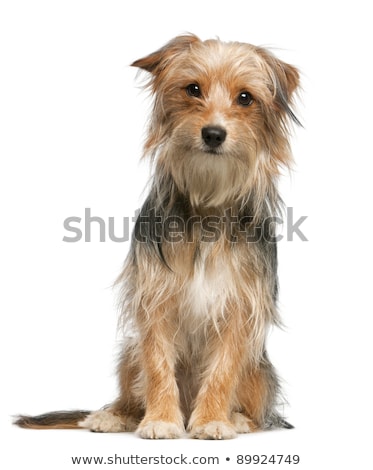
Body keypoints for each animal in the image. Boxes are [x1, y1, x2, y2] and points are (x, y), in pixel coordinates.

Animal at [14, 34, 300, 440]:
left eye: (245, 98)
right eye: (192, 89)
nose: (213, 133)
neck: (207, 201)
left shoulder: (239, 308)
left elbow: (223, 369)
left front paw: (212, 419)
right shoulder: (155, 300)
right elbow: (158, 366)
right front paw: (162, 419)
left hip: (259, 369)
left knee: (255, 406)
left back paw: (237, 419)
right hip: (128, 354)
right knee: (131, 395)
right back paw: (113, 416)